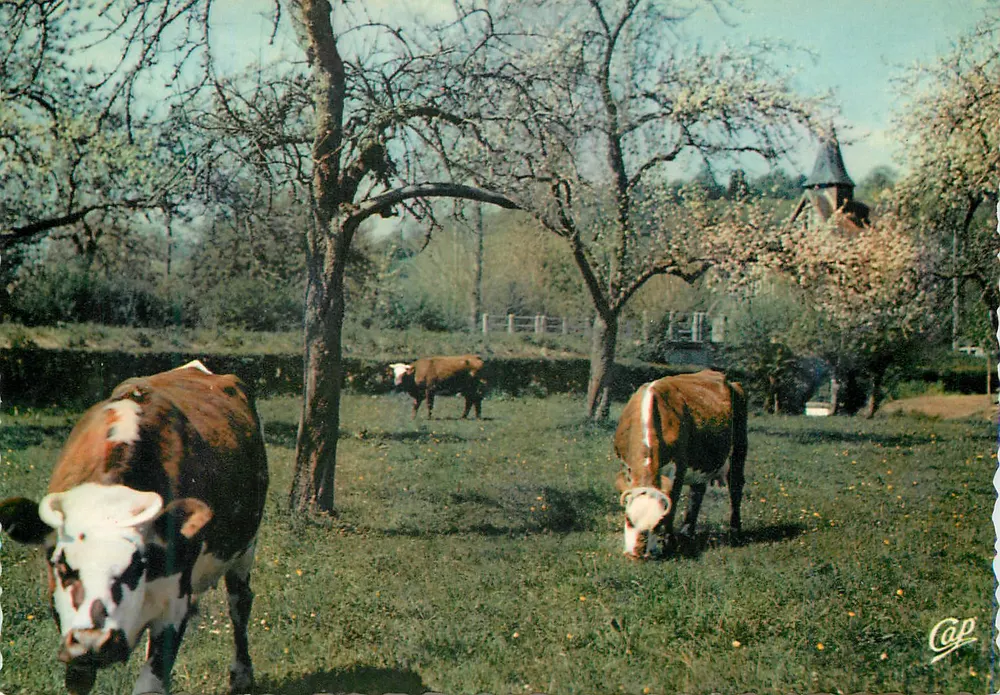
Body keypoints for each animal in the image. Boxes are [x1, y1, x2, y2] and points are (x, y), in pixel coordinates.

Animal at [0, 360, 269, 695]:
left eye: (136, 566)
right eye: (61, 566)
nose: (94, 641)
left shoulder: (173, 608)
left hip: (246, 547)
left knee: (239, 602)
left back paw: (242, 674)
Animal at [613, 369, 747, 559]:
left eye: (657, 523)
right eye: (629, 519)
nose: (639, 552)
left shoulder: (679, 467)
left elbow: (672, 504)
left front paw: (669, 543)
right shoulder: (626, 465)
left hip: (739, 447)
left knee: (735, 486)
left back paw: (735, 533)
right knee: (697, 491)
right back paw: (686, 533)